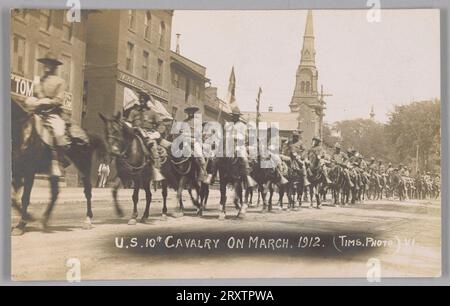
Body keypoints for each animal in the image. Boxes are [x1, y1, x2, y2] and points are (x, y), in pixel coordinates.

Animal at [11, 99, 117, 235]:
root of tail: (88, 135)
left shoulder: (29, 171)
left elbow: (24, 197)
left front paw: (22, 223)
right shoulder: (17, 171)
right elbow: (13, 198)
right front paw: (26, 219)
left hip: (83, 166)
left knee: (87, 191)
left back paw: (87, 220)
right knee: (55, 193)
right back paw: (44, 220)